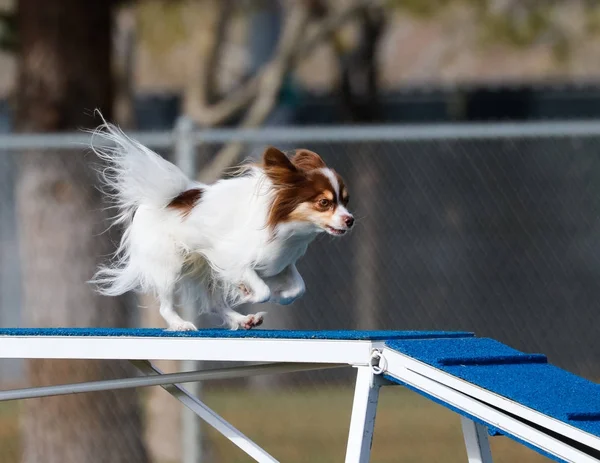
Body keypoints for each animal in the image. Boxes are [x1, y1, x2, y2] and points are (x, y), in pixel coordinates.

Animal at [89, 123, 352, 332]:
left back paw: (244, 320)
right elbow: (262, 290)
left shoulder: (281, 263)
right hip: (170, 266)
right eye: (324, 203)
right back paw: (180, 324)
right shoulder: (232, 259)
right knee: (166, 305)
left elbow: (297, 289)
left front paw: (278, 295)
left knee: (213, 303)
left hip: (204, 270)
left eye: (346, 201)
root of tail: (166, 199)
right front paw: (248, 292)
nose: (350, 220)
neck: (286, 226)